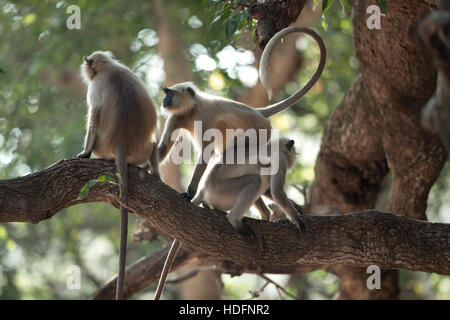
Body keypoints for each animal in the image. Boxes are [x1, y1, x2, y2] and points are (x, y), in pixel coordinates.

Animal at [77, 50, 160, 300]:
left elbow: (94, 116)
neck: (109, 68)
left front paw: (84, 153)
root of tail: (121, 142)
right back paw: (155, 172)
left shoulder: (94, 88)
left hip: (102, 148)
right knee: (154, 142)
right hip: (142, 149)